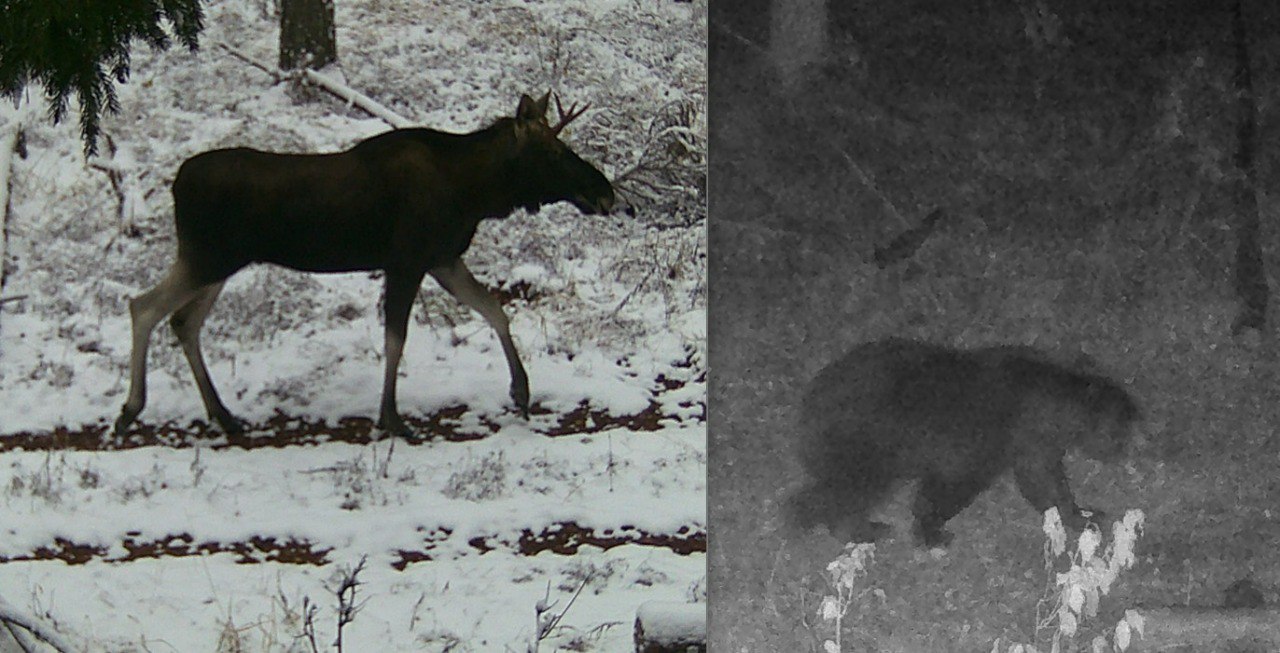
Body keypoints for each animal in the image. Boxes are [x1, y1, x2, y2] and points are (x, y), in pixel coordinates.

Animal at [117, 91, 616, 435]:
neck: (475, 193)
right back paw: (131, 409)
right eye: (552, 152)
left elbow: (495, 310)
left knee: (183, 321)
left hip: (218, 263)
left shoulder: (442, 258)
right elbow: (396, 337)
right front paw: (391, 416)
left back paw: (222, 414)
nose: (606, 191)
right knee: (143, 306)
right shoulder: (407, 259)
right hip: (206, 257)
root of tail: (175, 183)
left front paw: (521, 390)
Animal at [788, 335, 1141, 545]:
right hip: (864, 438)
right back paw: (852, 527)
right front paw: (932, 531)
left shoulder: (1032, 442)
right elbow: (955, 481)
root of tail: (808, 402)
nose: (1124, 451)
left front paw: (1083, 514)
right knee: (853, 486)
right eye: (1120, 430)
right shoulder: (989, 435)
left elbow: (1044, 481)